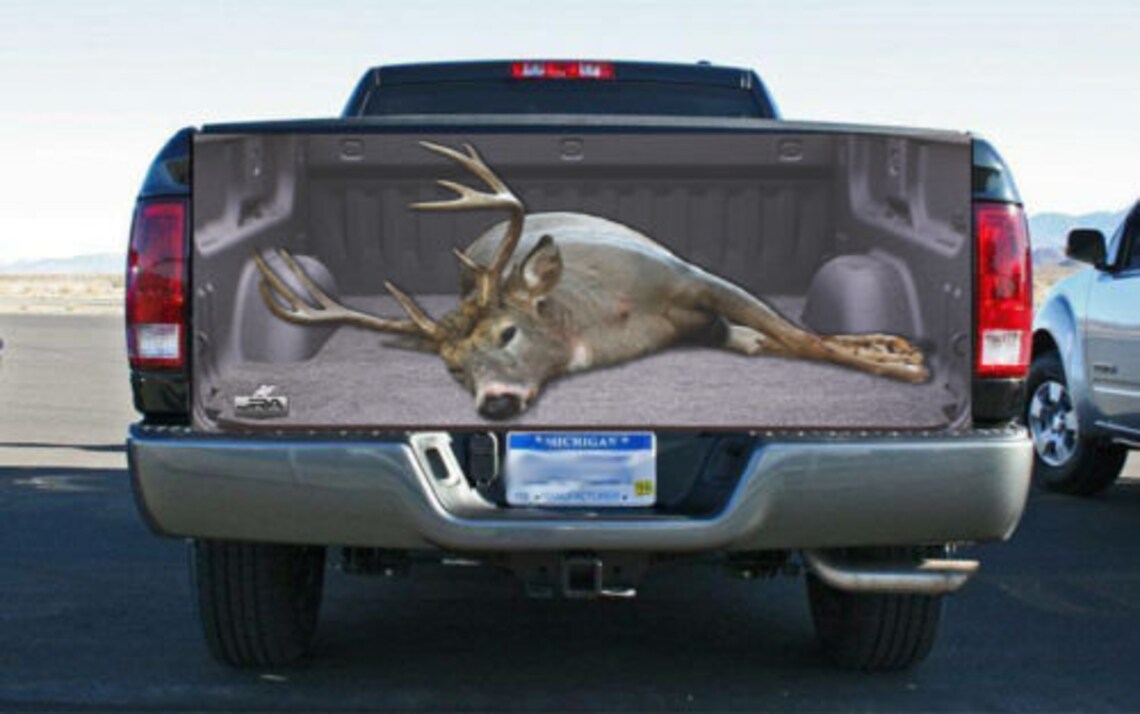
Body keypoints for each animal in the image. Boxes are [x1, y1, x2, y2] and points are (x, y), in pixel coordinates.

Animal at [253, 141, 928, 420]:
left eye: (506, 332)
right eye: (451, 367)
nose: (495, 402)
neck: (607, 319)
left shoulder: (693, 278)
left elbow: (802, 336)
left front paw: (902, 366)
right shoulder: (710, 325)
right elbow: (779, 340)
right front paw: (895, 354)